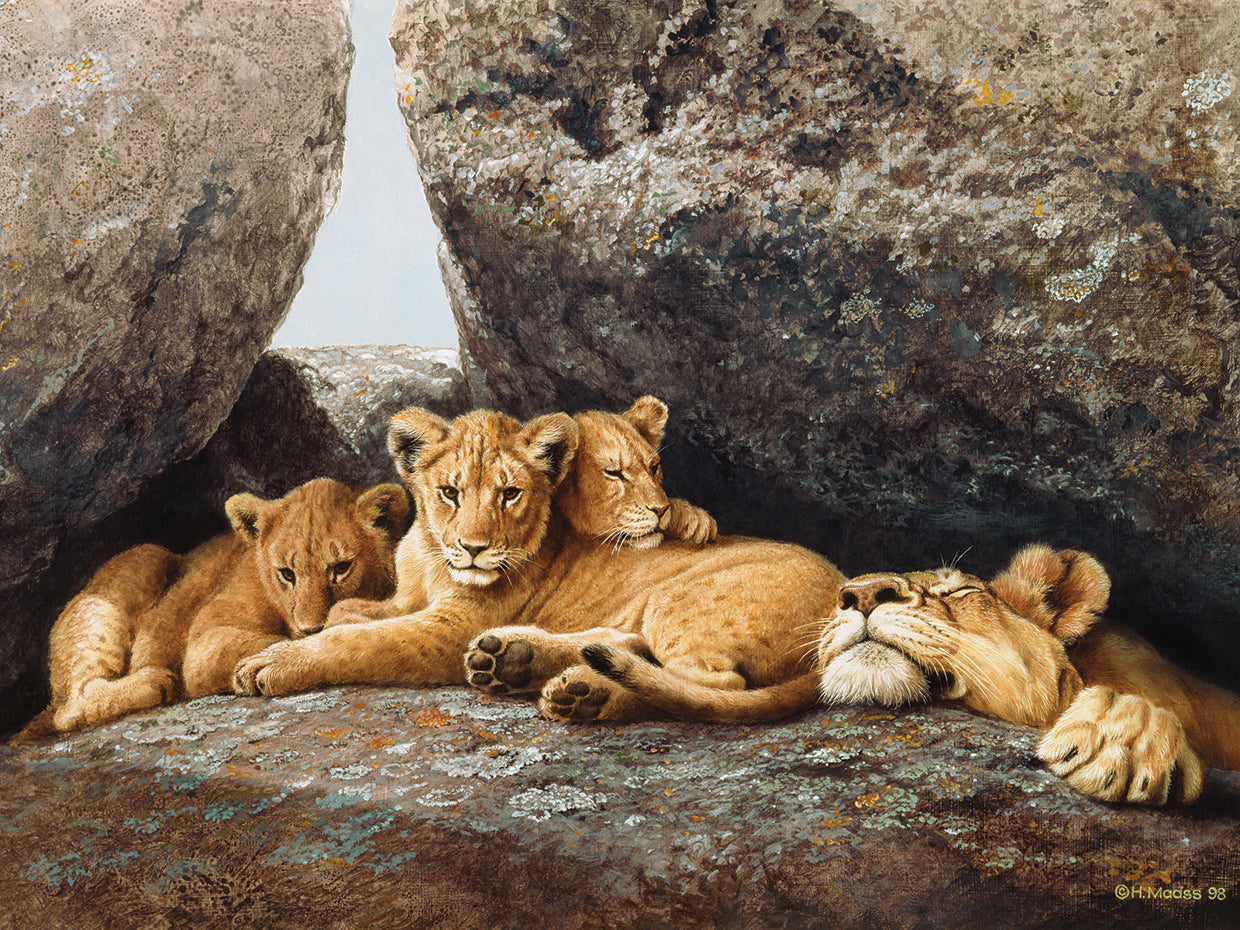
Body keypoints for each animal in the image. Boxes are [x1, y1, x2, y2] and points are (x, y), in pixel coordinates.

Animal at [13, 478, 411, 741]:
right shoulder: (206, 642)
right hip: (143, 558)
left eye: (341, 568)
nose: (310, 627)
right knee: (70, 710)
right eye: (287, 573)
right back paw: (156, 681)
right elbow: (260, 644)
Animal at [233, 400, 843, 723]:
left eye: (510, 495)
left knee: (705, 689)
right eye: (450, 492)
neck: (430, 558)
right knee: (628, 646)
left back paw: (585, 694)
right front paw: (326, 620)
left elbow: (358, 643)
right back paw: (516, 660)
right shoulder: (410, 598)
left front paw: (271, 662)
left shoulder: (446, 629)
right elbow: (353, 615)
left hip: (679, 600)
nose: (474, 548)